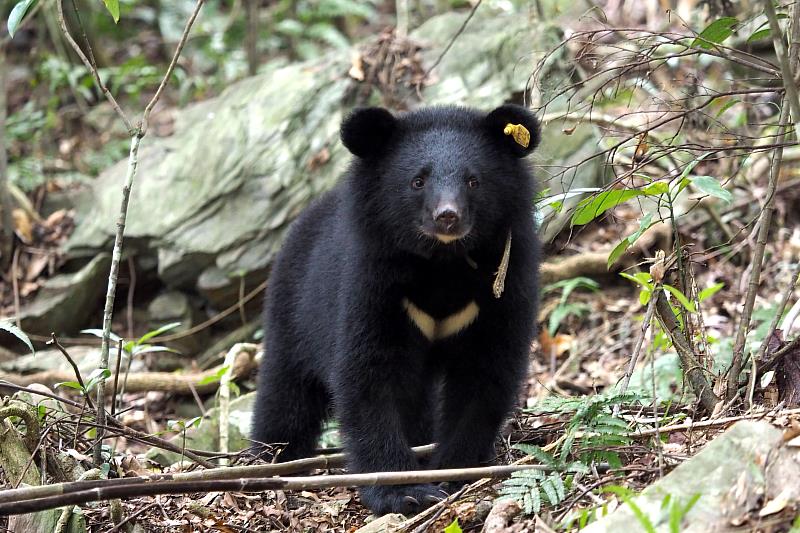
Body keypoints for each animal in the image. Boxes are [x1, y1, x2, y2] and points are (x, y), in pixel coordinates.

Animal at [253, 102, 540, 512]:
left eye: (474, 181)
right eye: (417, 181)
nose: (447, 217)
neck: (442, 264)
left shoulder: (502, 285)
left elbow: (485, 373)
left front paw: (452, 471)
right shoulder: (372, 284)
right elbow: (369, 375)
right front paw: (404, 491)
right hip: (294, 312)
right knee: (286, 394)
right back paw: (272, 459)